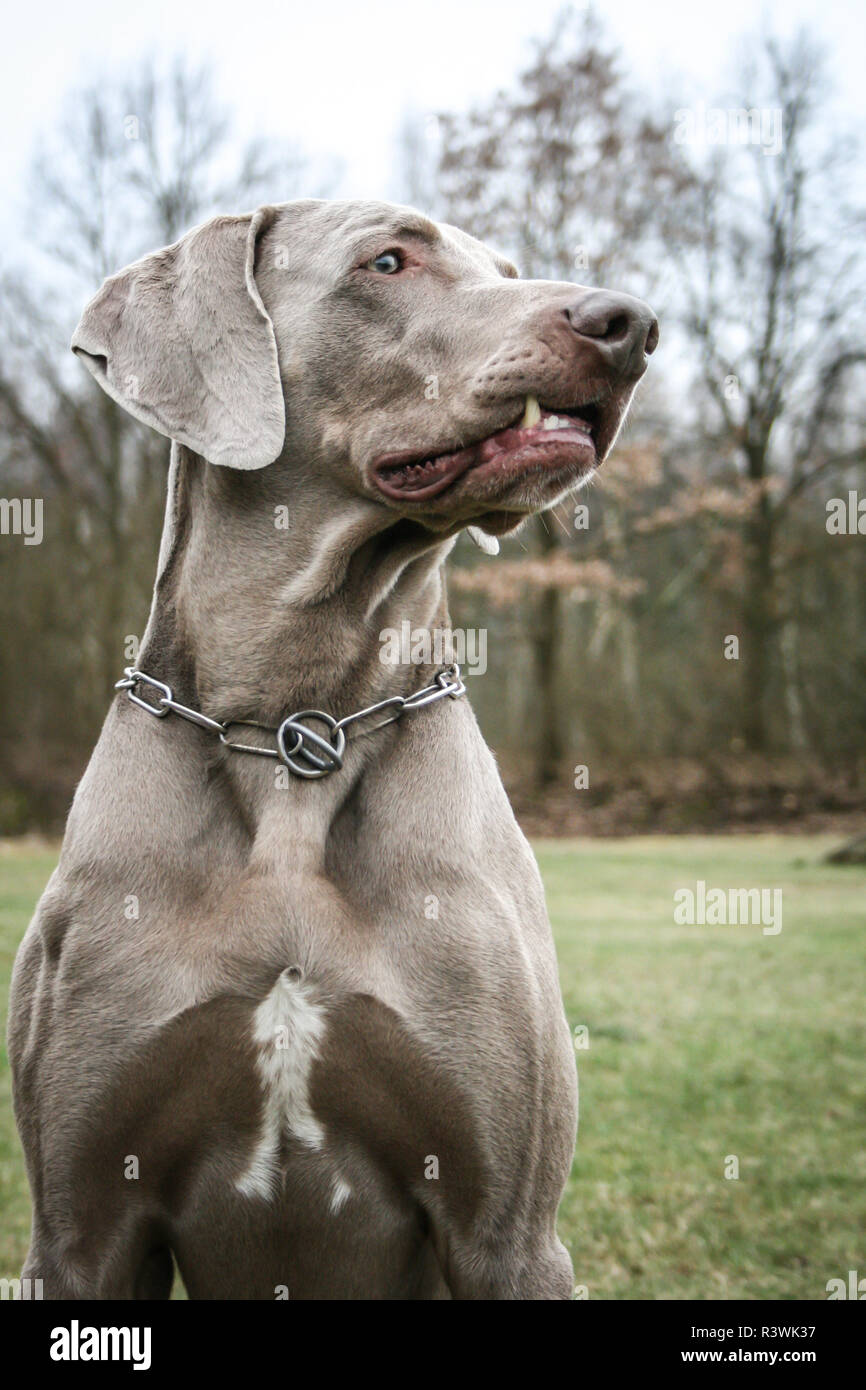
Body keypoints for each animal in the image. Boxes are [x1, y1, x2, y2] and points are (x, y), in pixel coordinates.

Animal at [8, 201, 656, 1295]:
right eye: (387, 260)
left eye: (505, 270)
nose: (633, 323)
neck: (293, 729)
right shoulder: (81, 1227)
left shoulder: (511, 1230)